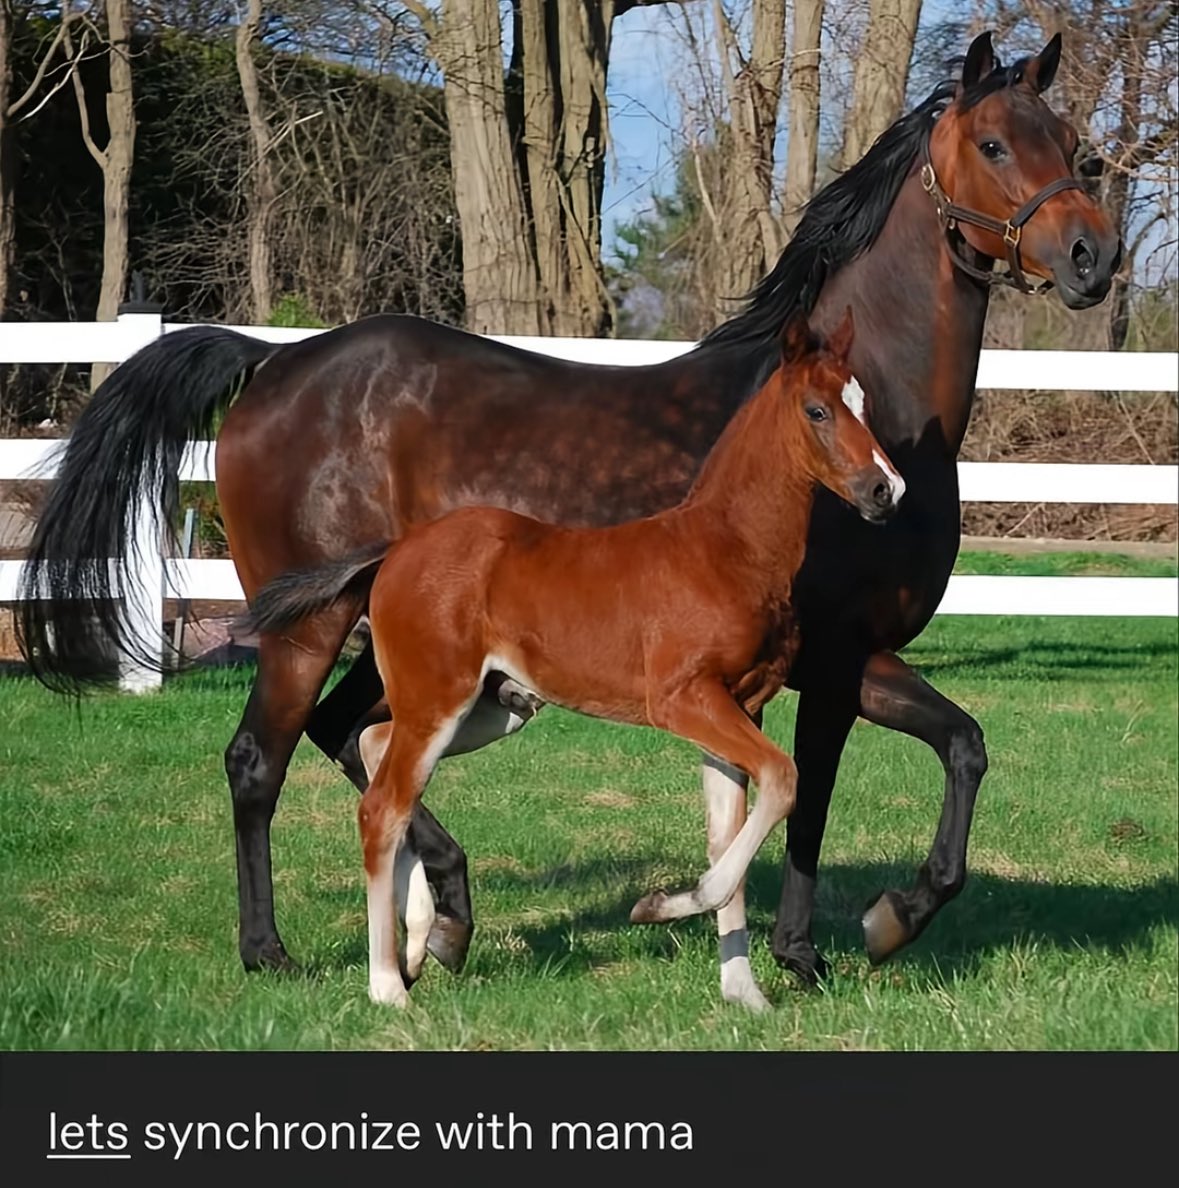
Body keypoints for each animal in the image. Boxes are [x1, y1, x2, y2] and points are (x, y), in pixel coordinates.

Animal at [235, 307, 906, 1008]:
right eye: (817, 410)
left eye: (863, 402)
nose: (886, 489)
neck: (725, 549)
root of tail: (393, 553)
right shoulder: (683, 701)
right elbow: (783, 780)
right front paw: (661, 906)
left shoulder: (737, 711)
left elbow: (729, 835)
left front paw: (743, 993)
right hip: (436, 700)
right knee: (380, 807)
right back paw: (388, 983)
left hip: (487, 707)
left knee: (372, 746)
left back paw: (419, 938)